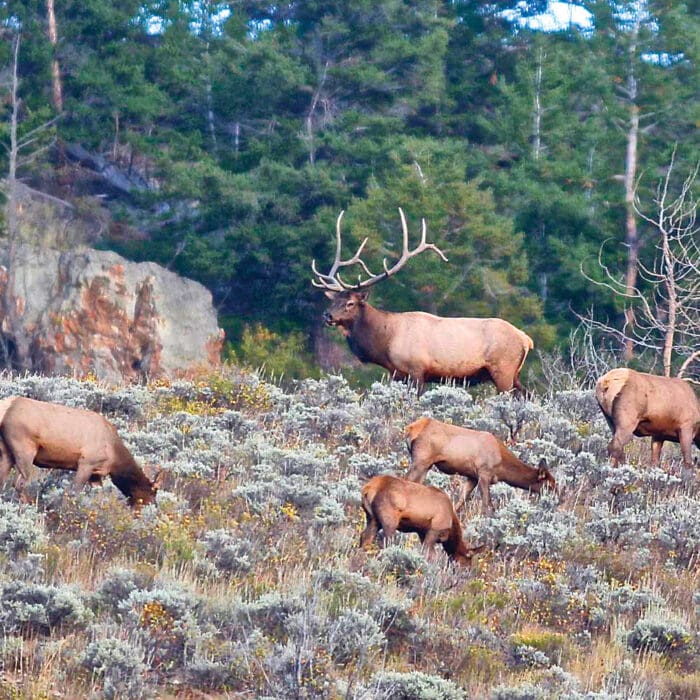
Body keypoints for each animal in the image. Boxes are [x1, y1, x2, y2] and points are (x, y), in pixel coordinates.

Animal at [0, 396, 163, 509]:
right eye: (152, 492)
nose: (154, 507)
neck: (114, 454)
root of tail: (7, 406)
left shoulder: (96, 474)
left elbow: (98, 496)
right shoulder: (86, 462)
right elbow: (74, 491)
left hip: (7, 453)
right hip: (25, 449)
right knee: (20, 483)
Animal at [311, 209, 534, 393]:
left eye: (350, 303)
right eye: (333, 300)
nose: (327, 315)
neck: (386, 343)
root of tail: (526, 339)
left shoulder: (417, 370)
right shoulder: (397, 375)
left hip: (503, 369)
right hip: (513, 374)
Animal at [404, 417, 556, 516]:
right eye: (549, 485)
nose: (558, 499)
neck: (502, 466)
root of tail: (410, 429)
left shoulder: (472, 477)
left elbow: (461, 501)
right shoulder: (484, 473)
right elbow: (487, 505)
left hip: (426, 465)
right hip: (421, 460)